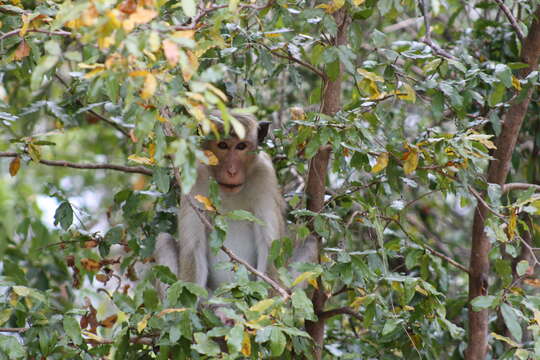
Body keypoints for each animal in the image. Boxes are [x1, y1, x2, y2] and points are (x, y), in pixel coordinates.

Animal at [154, 112, 284, 292]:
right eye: (222, 145)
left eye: (241, 146)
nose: (232, 171)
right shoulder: (197, 175)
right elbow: (193, 249)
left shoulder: (264, 174)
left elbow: (269, 247)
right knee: (163, 239)